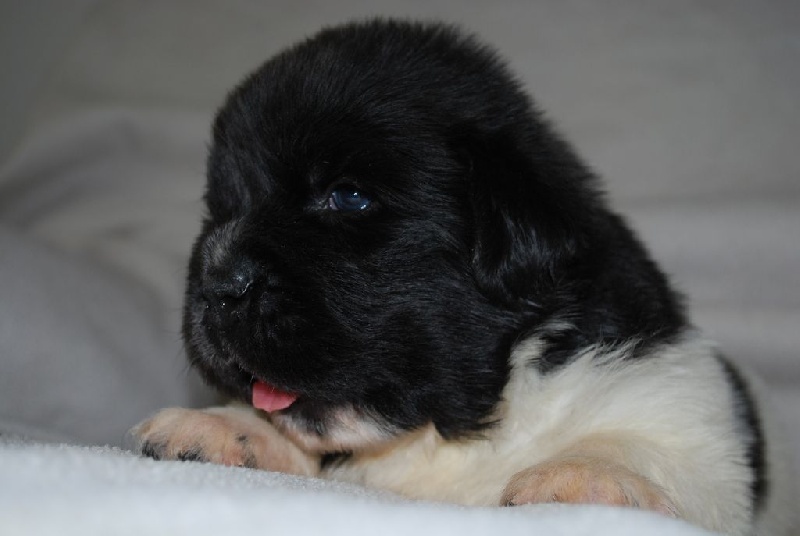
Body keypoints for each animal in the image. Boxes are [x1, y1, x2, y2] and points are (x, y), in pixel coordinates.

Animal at [134, 19, 795, 535]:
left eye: (348, 197)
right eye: (221, 207)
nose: (217, 281)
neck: (450, 430)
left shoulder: (670, 388)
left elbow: (661, 441)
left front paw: (591, 475)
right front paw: (224, 426)